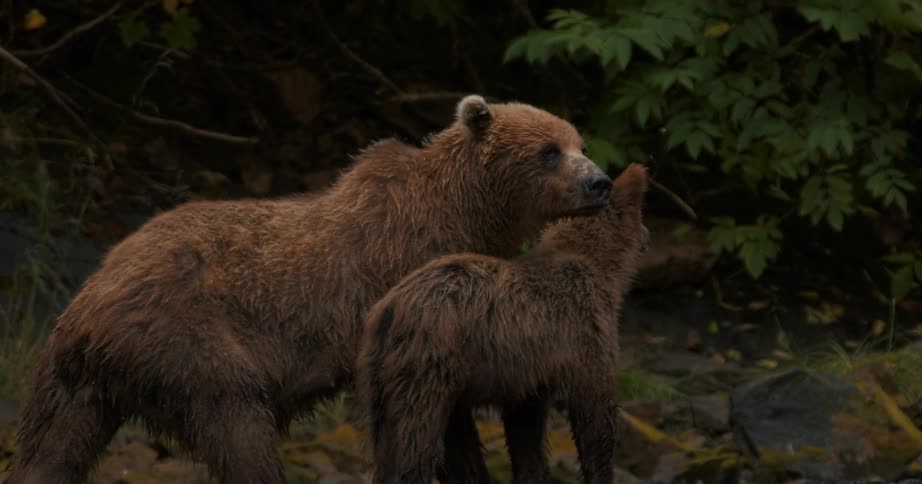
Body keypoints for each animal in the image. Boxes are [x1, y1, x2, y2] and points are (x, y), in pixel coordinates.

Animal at [6, 95, 613, 484]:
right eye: (549, 150)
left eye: (580, 141)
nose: (600, 182)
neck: (467, 212)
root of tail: (86, 306)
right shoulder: (416, 295)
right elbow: (444, 419)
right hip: (185, 337)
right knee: (240, 424)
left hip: (74, 382)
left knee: (50, 452)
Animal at [355, 163, 650, 484]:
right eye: (642, 217)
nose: (649, 234)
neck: (602, 268)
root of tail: (389, 308)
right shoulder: (586, 333)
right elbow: (596, 415)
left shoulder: (529, 371)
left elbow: (525, 429)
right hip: (428, 363)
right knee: (417, 440)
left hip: (379, 373)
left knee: (389, 442)